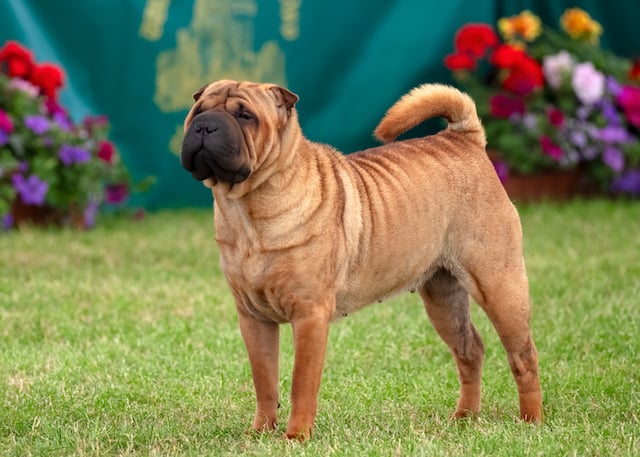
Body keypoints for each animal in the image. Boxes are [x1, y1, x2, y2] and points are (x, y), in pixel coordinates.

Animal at [181, 80, 544, 440]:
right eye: (198, 111)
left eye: (246, 116)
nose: (205, 126)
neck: (248, 210)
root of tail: (464, 138)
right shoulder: (254, 318)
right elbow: (265, 381)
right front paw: (260, 432)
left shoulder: (309, 315)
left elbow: (301, 384)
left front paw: (296, 436)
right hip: (443, 297)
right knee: (470, 350)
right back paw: (464, 418)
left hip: (498, 285)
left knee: (523, 356)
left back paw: (530, 420)